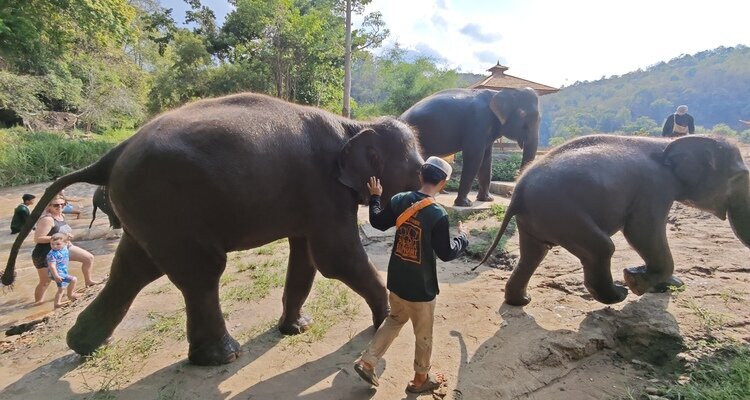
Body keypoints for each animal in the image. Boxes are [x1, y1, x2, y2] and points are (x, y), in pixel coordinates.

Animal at [3, 92, 424, 366]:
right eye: (419, 172)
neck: (354, 125)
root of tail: (112, 154)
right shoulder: (324, 189)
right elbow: (336, 258)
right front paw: (388, 320)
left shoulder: (311, 198)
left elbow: (306, 258)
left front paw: (296, 329)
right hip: (165, 201)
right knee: (201, 271)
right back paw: (223, 356)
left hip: (147, 207)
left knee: (133, 268)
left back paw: (83, 346)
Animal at [400, 87, 541, 207]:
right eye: (522, 114)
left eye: (540, 118)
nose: (510, 194)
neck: (499, 92)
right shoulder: (477, 122)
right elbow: (474, 156)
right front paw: (465, 204)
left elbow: (486, 159)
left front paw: (487, 199)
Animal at [478, 134, 750, 306]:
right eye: (738, 176)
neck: (668, 143)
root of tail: (519, 189)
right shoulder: (654, 187)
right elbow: (642, 232)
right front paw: (636, 281)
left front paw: (671, 285)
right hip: (562, 212)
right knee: (601, 247)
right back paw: (620, 295)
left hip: (538, 216)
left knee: (534, 253)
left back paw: (521, 302)